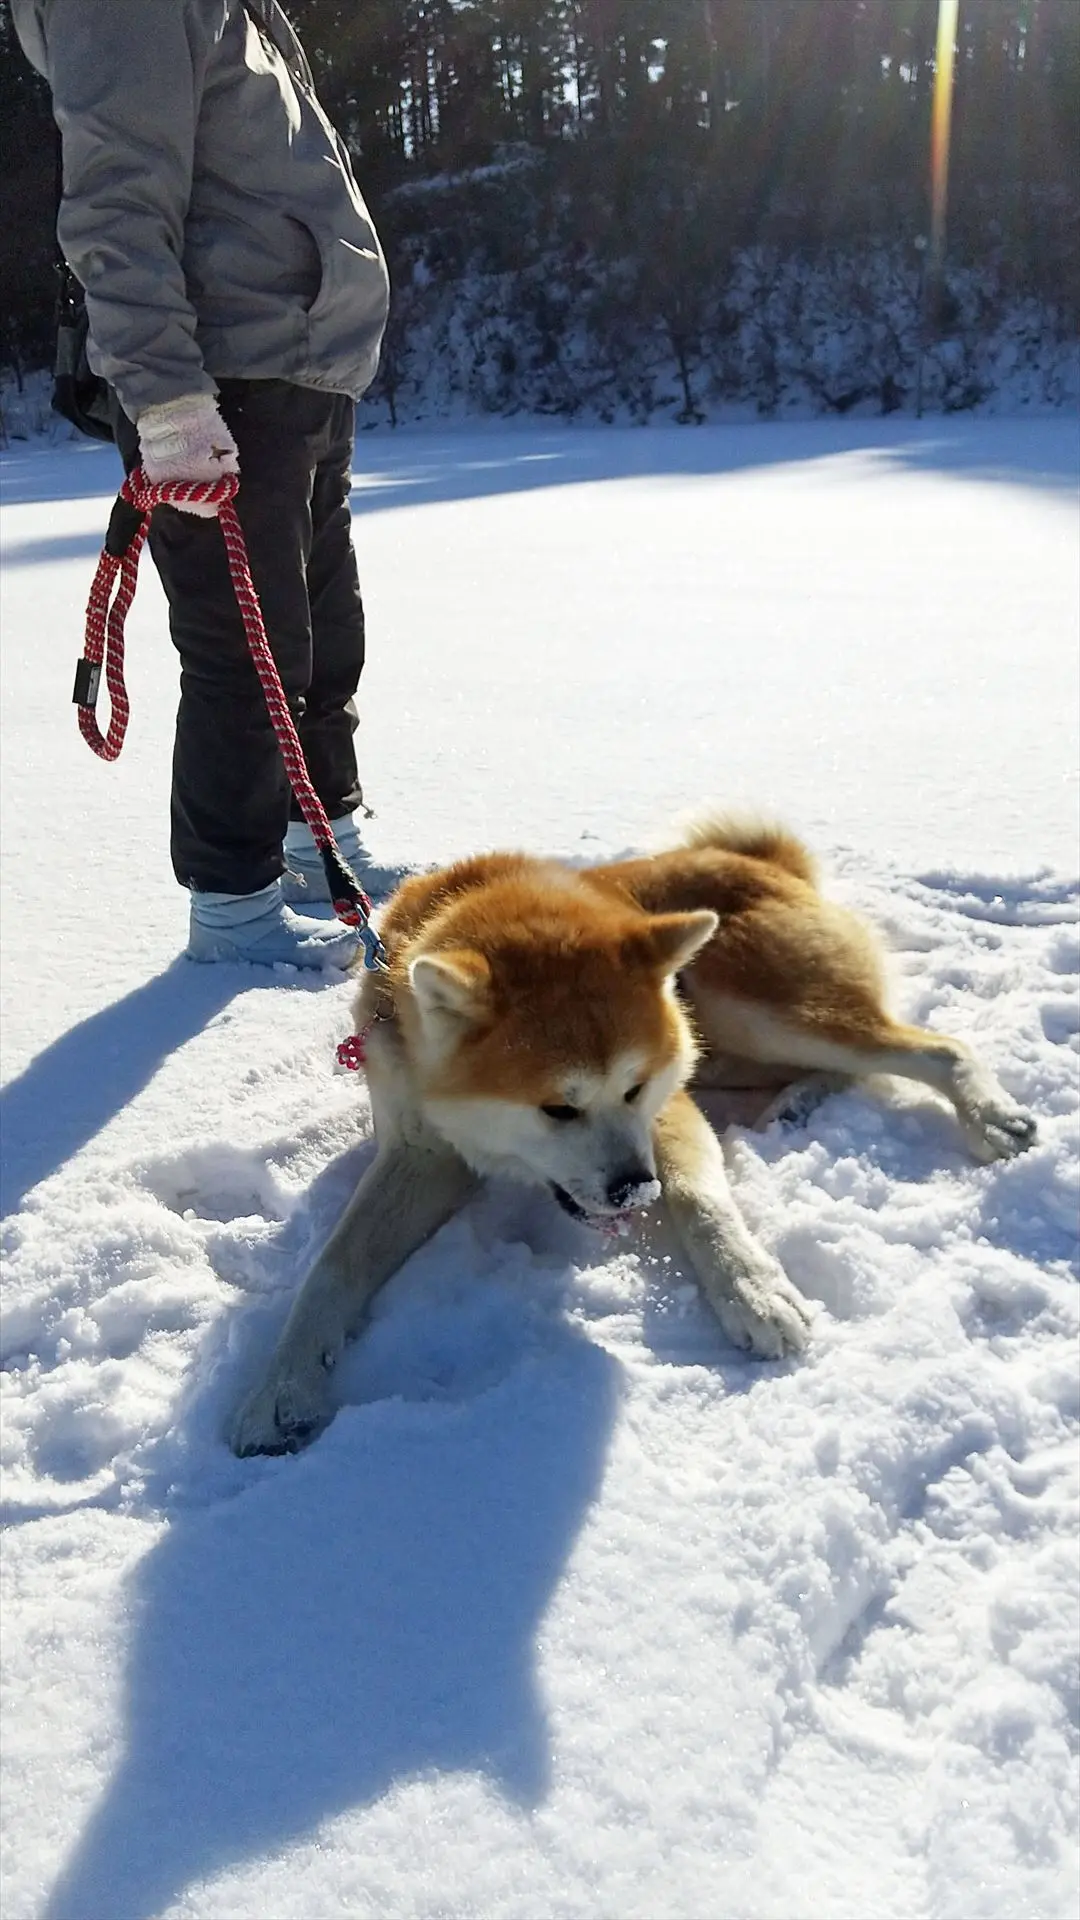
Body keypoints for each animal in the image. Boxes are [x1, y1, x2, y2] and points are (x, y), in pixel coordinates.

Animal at [226, 814, 1037, 1451]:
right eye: (558, 1108)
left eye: (635, 1088)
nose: (633, 1190)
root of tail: (763, 861)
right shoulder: (420, 1151)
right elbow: (333, 1268)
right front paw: (281, 1386)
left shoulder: (668, 1110)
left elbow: (701, 1205)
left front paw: (754, 1294)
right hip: (734, 1040)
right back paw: (800, 1101)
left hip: (759, 1012)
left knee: (934, 1048)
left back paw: (988, 1116)